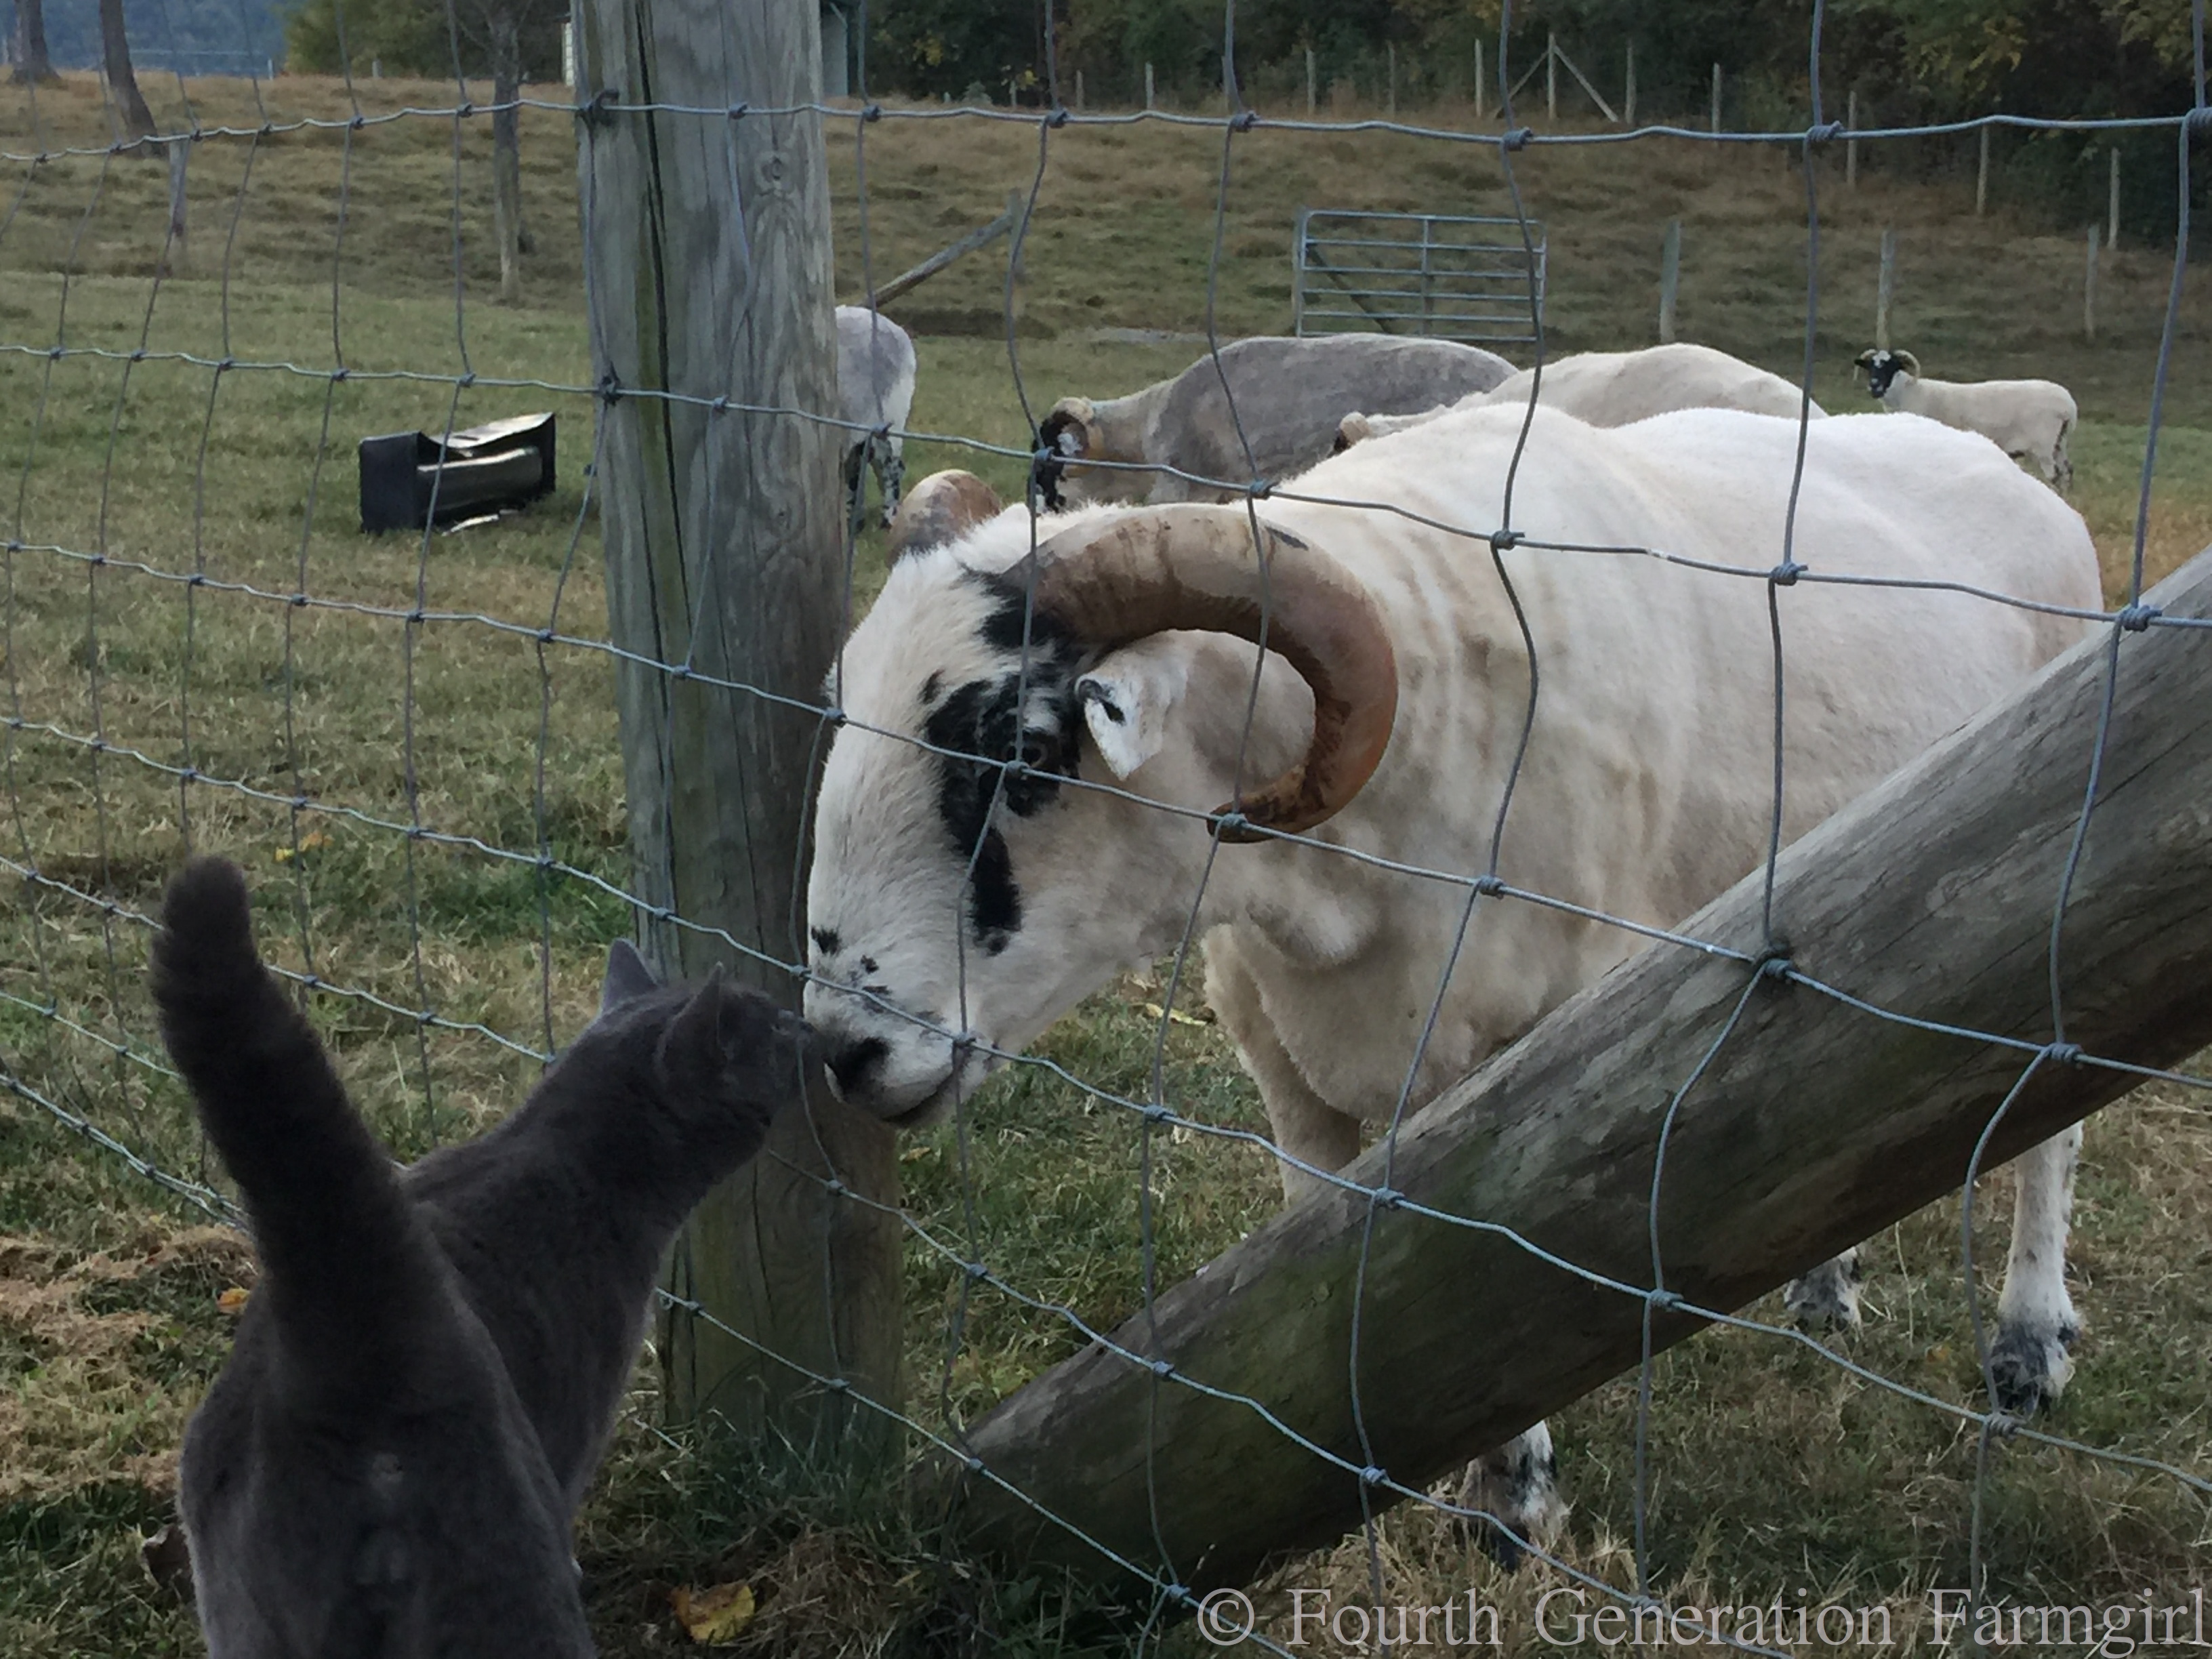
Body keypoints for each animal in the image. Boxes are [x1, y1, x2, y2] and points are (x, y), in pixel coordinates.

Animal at [151, 856, 812, 1657]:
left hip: (245, 1614)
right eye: (775, 1026)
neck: (570, 1153)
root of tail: (351, 1359)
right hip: (500, 1572)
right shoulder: (575, 1433)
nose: (811, 1024)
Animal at [803, 410, 2097, 1567]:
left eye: (1022, 752)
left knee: (2046, 1134)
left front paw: (1510, 1503)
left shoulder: (1551, 1074)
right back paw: (1824, 1293)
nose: (840, 1051)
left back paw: (2026, 1350)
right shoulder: (1288, 1069)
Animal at [1855, 348, 2076, 492]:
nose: (1874, 387)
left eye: (1892, 366)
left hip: (2043, 445)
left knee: (2053, 476)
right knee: (2067, 472)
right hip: (2060, 443)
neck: (1909, 393)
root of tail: (2069, 405)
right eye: (1870, 367)